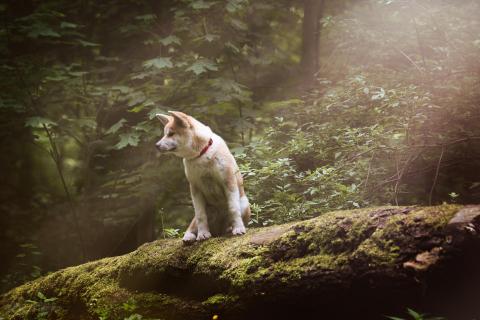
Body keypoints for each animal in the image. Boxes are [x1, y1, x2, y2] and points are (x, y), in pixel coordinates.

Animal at [155, 110, 251, 242]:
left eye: (171, 134)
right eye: (165, 134)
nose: (156, 145)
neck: (201, 154)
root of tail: (218, 230)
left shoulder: (228, 181)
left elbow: (233, 209)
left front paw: (238, 229)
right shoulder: (195, 188)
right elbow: (201, 216)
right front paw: (203, 234)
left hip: (245, 205)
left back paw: (229, 229)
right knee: (193, 223)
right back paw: (189, 236)